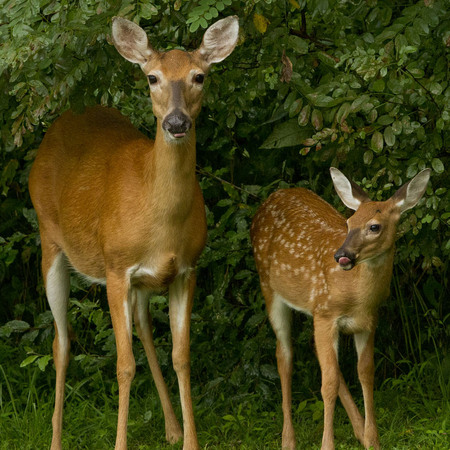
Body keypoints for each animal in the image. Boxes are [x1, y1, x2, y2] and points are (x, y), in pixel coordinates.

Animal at [28, 14, 239, 450]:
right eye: (152, 77)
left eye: (199, 76)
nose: (176, 123)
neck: (160, 220)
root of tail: (62, 120)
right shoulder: (115, 267)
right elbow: (123, 366)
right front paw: (120, 443)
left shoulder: (186, 269)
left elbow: (181, 356)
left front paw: (189, 440)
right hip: (49, 240)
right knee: (61, 342)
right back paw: (55, 439)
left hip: (141, 283)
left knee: (143, 328)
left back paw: (172, 428)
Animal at [251, 168, 430, 450]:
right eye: (348, 223)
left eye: (374, 226)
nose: (341, 255)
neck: (357, 297)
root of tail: (271, 197)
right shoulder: (326, 313)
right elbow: (328, 384)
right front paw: (328, 445)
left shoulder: (368, 322)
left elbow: (365, 373)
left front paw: (372, 440)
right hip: (270, 289)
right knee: (284, 356)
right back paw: (288, 440)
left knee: (319, 357)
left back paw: (358, 430)